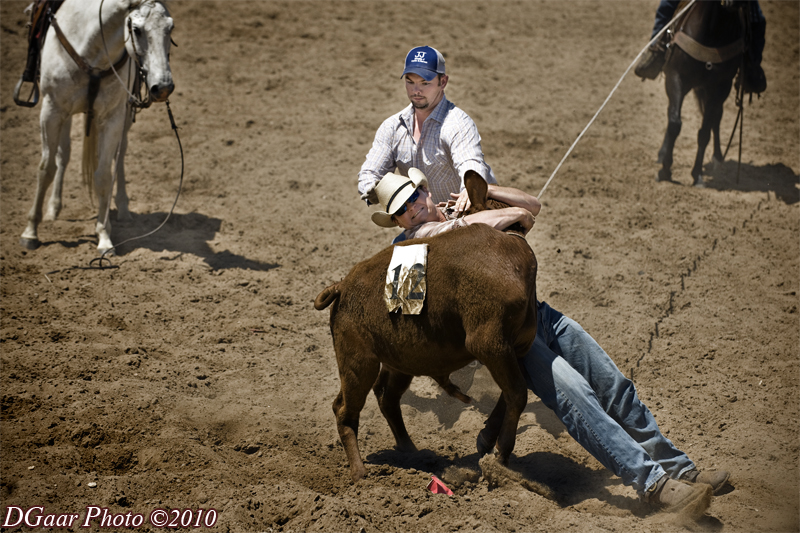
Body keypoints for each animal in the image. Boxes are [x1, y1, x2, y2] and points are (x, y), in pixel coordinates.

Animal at [20, 0, 174, 255]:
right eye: (136, 30)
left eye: (170, 28)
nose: (162, 87)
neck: (91, 51)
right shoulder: (52, 111)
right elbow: (46, 168)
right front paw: (30, 232)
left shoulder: (113, 117)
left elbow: (103, 175)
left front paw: (104, 237)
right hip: (64, 116)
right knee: (63, 155)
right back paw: (53, 209)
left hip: (124, 117)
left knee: (118, 157)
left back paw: (123, 210)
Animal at [660, 0, 748, 187]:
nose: (735, 3)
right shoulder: (675, 76)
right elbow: (674, 123)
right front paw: (665, 169)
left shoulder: (720, 87)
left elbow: (704, 132)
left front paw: (697, 175)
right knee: (672, 112)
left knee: (716, 118)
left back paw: (718, 158)